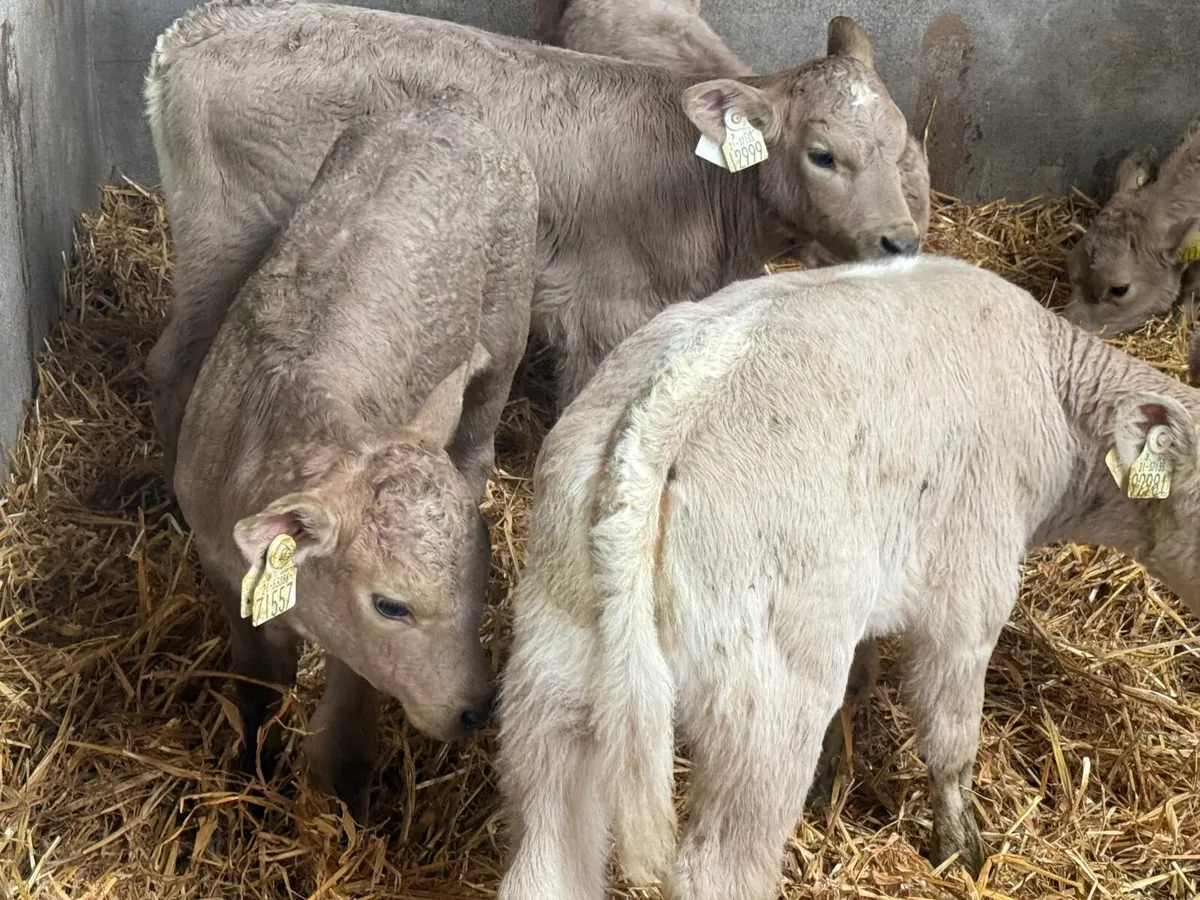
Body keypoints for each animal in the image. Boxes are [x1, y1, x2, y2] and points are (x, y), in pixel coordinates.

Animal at [144, 0, 921, 486]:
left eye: (900, 141)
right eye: (823, 154)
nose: (901, 240)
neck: (707, 191)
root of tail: (199, 28)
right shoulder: (603, 314)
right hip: (224, 237)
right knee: (172, 362)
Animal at [173, 103, 538, 822]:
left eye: (485, 577)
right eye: (391, 606)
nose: (476, 709)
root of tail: (457, 102)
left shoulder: (356, 657)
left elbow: (340, 732)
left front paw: (350, 807)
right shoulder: (224, 571)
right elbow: (257, 689)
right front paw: (253, 769)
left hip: (507, 326)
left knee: (478, 435)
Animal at [495, 254, 1200, 900]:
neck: (1054, 394)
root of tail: (666, 402)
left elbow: (860, 682)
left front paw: (835, 772)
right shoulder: (969, 598)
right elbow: (950, 743)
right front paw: (963, 850)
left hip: (554, 677)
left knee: (545, 861)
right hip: (765, 708)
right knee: (718, 869)